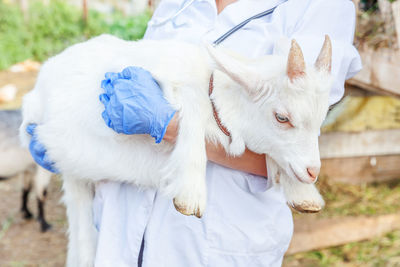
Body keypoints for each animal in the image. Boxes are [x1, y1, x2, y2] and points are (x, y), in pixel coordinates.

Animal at [19, 34, 332, 266]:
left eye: (322, 116)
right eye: (282, 117)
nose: (312, 171)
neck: (215, 93)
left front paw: (303, 193)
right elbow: (193, 109)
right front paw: (191, 194)